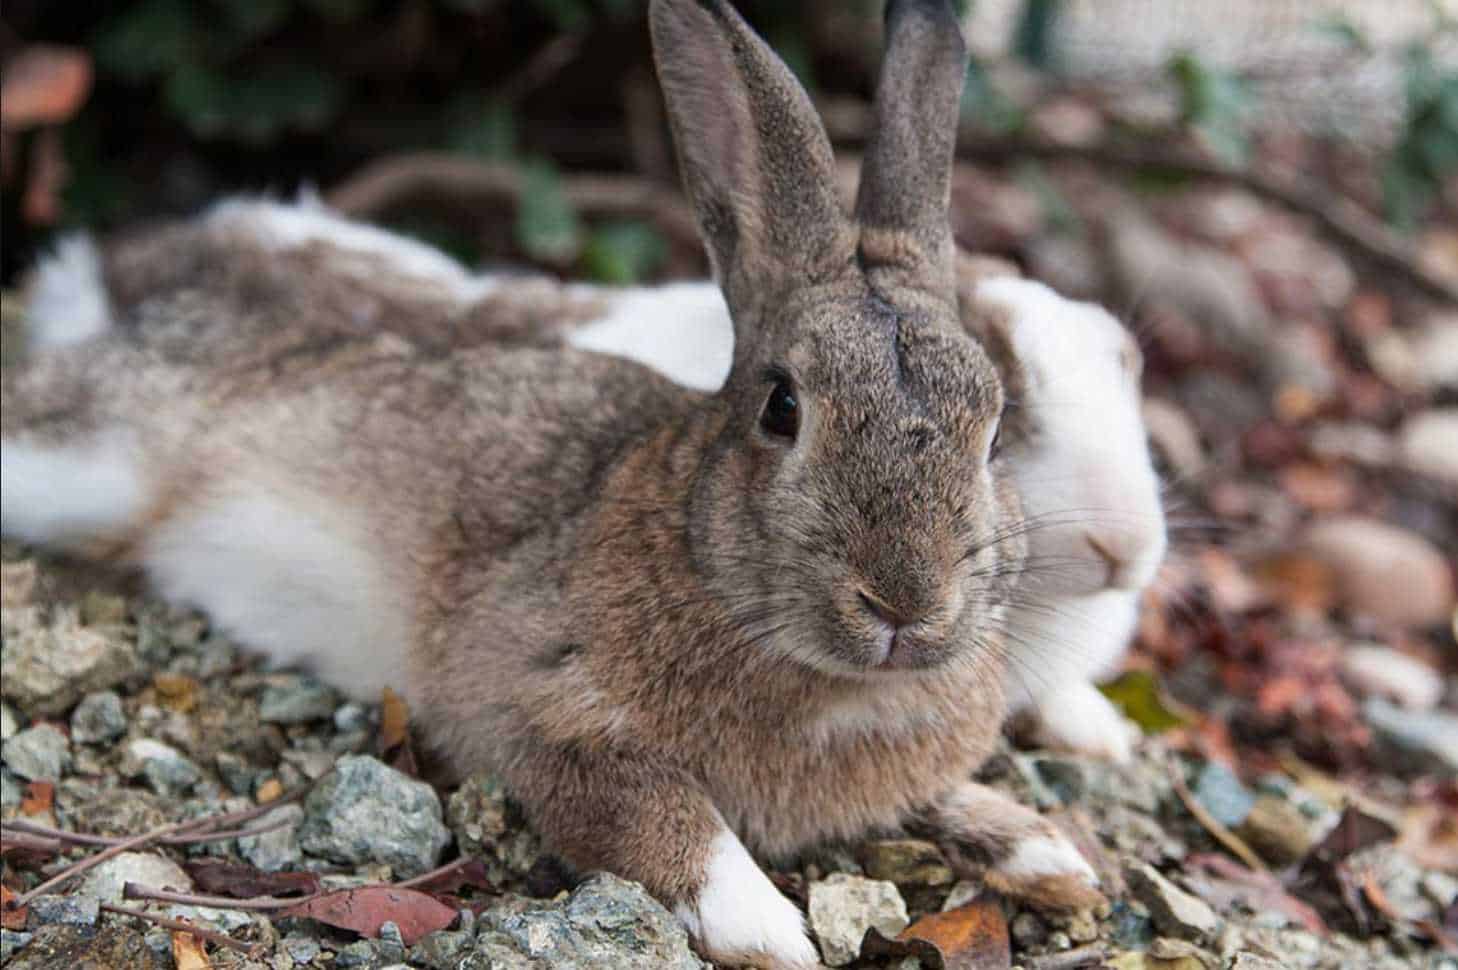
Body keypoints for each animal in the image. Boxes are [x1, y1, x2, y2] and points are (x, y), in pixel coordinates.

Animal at [0, 0, 1096, 962]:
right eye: (783, 408)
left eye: (995, 426)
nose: (906, 602)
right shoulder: (548, 714)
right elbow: (663, 813)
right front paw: (766, 931)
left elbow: (949, 795)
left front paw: (1051, 855)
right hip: (92, 460)